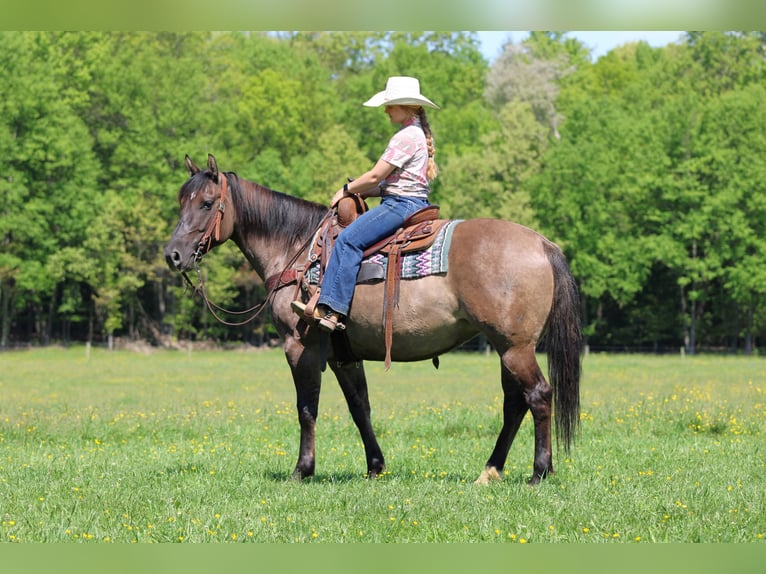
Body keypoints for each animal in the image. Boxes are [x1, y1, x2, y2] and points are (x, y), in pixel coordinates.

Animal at [164, 154, 582, 485]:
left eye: (206, 203)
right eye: (181, 201)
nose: (173, 255)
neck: (296, 249)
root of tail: (541, 243)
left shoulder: (301, 346)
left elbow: (306, 408)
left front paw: (302, 470)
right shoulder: (343, 355)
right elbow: (359, 407)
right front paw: (375, 466)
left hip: (515, 347)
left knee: (538, 396)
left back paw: (539, 472)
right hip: (505, 347)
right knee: (514, 404)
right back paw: (490, 470)